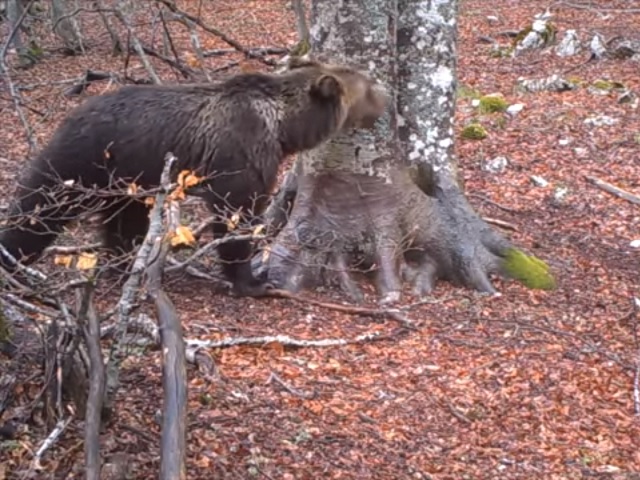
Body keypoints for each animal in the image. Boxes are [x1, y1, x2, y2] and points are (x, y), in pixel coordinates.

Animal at [0, 56, 384, 296]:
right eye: (366, 86)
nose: (385, 101)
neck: (282, 128)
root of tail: (70, 115)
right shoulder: (242, 152)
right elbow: (236, 213)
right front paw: (253, 280)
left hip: (128, 180)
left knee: (123, 222)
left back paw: (124, 266)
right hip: (83, 161)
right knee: (40, 208)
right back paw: (14, 262)